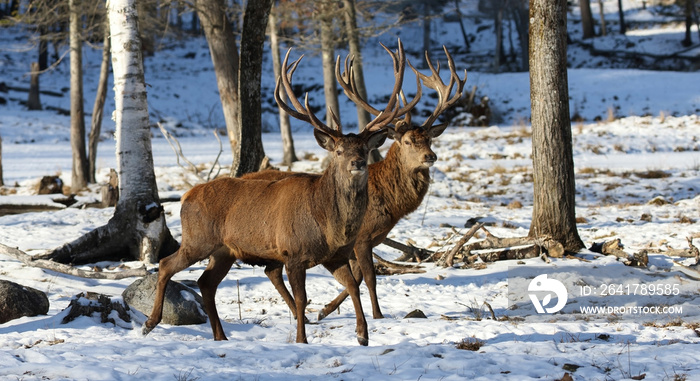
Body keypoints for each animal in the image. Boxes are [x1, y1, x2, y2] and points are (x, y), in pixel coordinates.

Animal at [142, 47, 408, 344]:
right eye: (339, 150)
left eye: (364, 148)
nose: (358, 163)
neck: (327, 222)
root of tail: (186, 196)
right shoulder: (292, 252)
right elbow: (302, 299)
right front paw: (302, 339)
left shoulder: (335, 255)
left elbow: (353, 284)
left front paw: (362, 335)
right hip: (198, 239)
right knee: (166, 264)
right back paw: (150, 323)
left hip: (224, 250)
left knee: (205, 283)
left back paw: (220, 336)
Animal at [243, 44, 468, 320]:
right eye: (407, 141)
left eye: (429, 139)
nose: (430, 156)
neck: (390, 204)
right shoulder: (362, 238)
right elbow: (369, 277)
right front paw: (377, 314)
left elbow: (356, 277)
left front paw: (326, 310)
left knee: (271, 270)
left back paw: (301, 313)